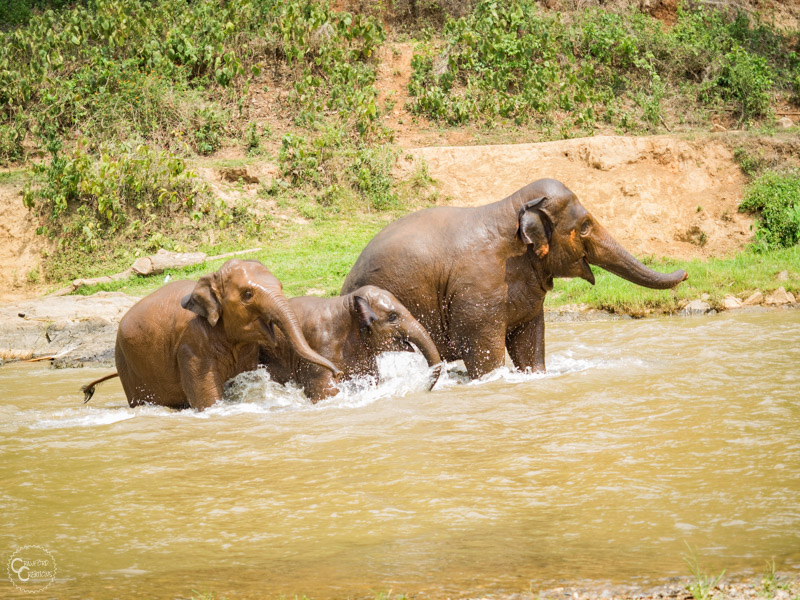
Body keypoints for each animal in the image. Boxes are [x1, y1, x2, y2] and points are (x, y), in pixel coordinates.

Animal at [81, 260, 340, 410]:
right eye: (247, 294)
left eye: (281, 286)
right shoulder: (191, 346)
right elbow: (206, 400)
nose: (338, 372)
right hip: (126, 364)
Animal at [340, 176, 684, 378]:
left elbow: (528, 345)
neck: (510, 208)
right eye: (585, 226)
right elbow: (485, 357)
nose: (686, 272)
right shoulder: (478, 296)